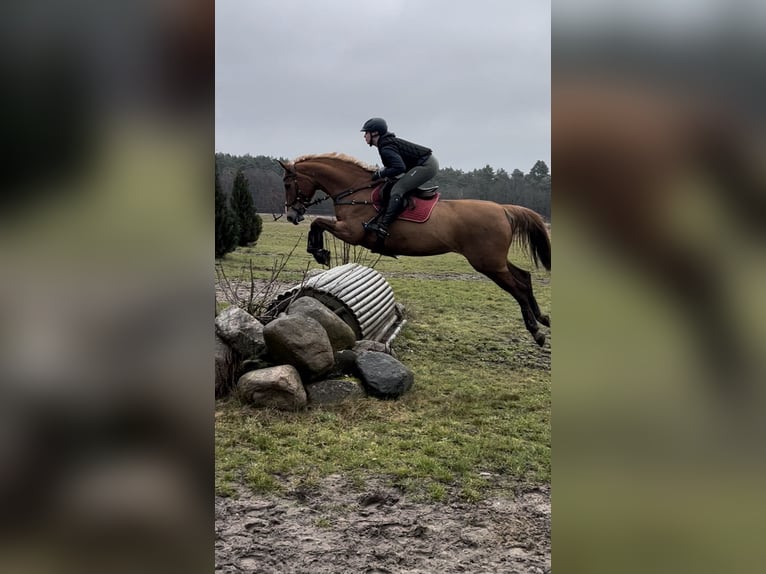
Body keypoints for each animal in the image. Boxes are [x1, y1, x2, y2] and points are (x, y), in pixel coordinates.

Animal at [280, 153, 556, 348]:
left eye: (287, 184)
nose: (292, 215)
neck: (356, 191)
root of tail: (503, 209)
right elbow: (317, 224)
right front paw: (319, 251)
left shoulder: (352, 232)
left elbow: (317, 222)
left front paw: (319, 252)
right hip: (494, 261)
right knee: (524, 278)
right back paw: (543, 318)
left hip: (487, 263)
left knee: (518, 288)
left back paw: (536, 331)